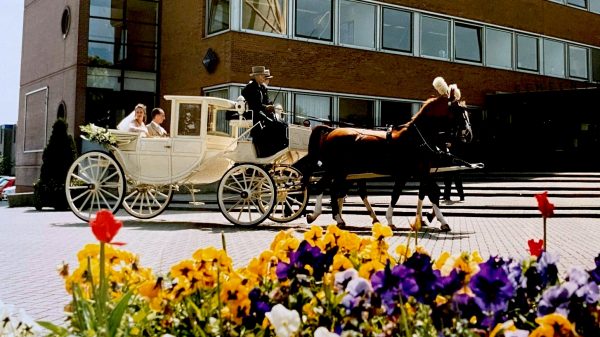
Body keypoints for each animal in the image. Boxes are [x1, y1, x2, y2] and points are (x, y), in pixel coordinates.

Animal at [302, 77, 472, 228]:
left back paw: (339, 218)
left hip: (343, 171)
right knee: (322, 186)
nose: (468, 134)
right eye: (459, 110)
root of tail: (331, 130)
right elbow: (427, 193)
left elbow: (404, 193)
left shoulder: (412, 173)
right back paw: (316, 215)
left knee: (335, 190)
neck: (417, 137)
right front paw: (438, 220)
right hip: (335, 169)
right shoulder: (418, 172)